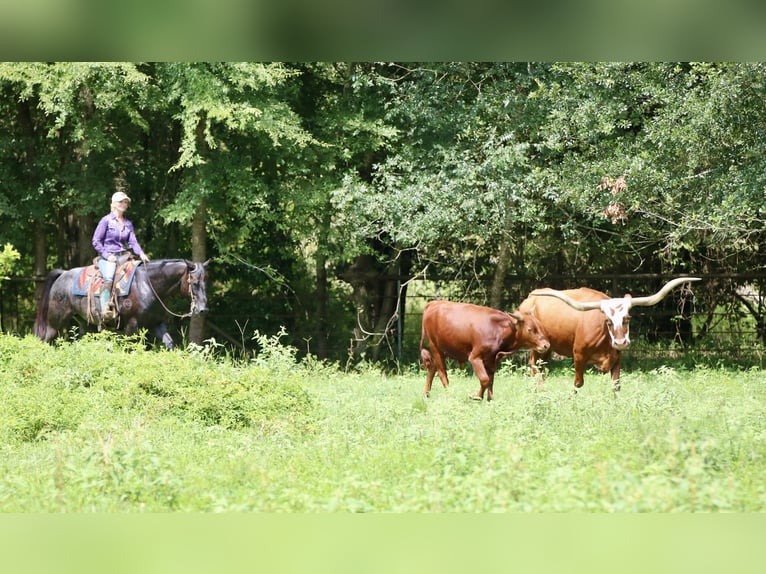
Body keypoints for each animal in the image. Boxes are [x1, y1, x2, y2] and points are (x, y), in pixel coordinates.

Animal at [35, 258, 209, 349]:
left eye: (205, 281)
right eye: (194, 283)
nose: (203, 309)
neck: (148, 284)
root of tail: (62, 274)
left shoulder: (156, 323)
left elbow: (169, 343)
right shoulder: (132, 326)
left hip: (86, 324)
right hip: (54, 322)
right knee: (45, 340)